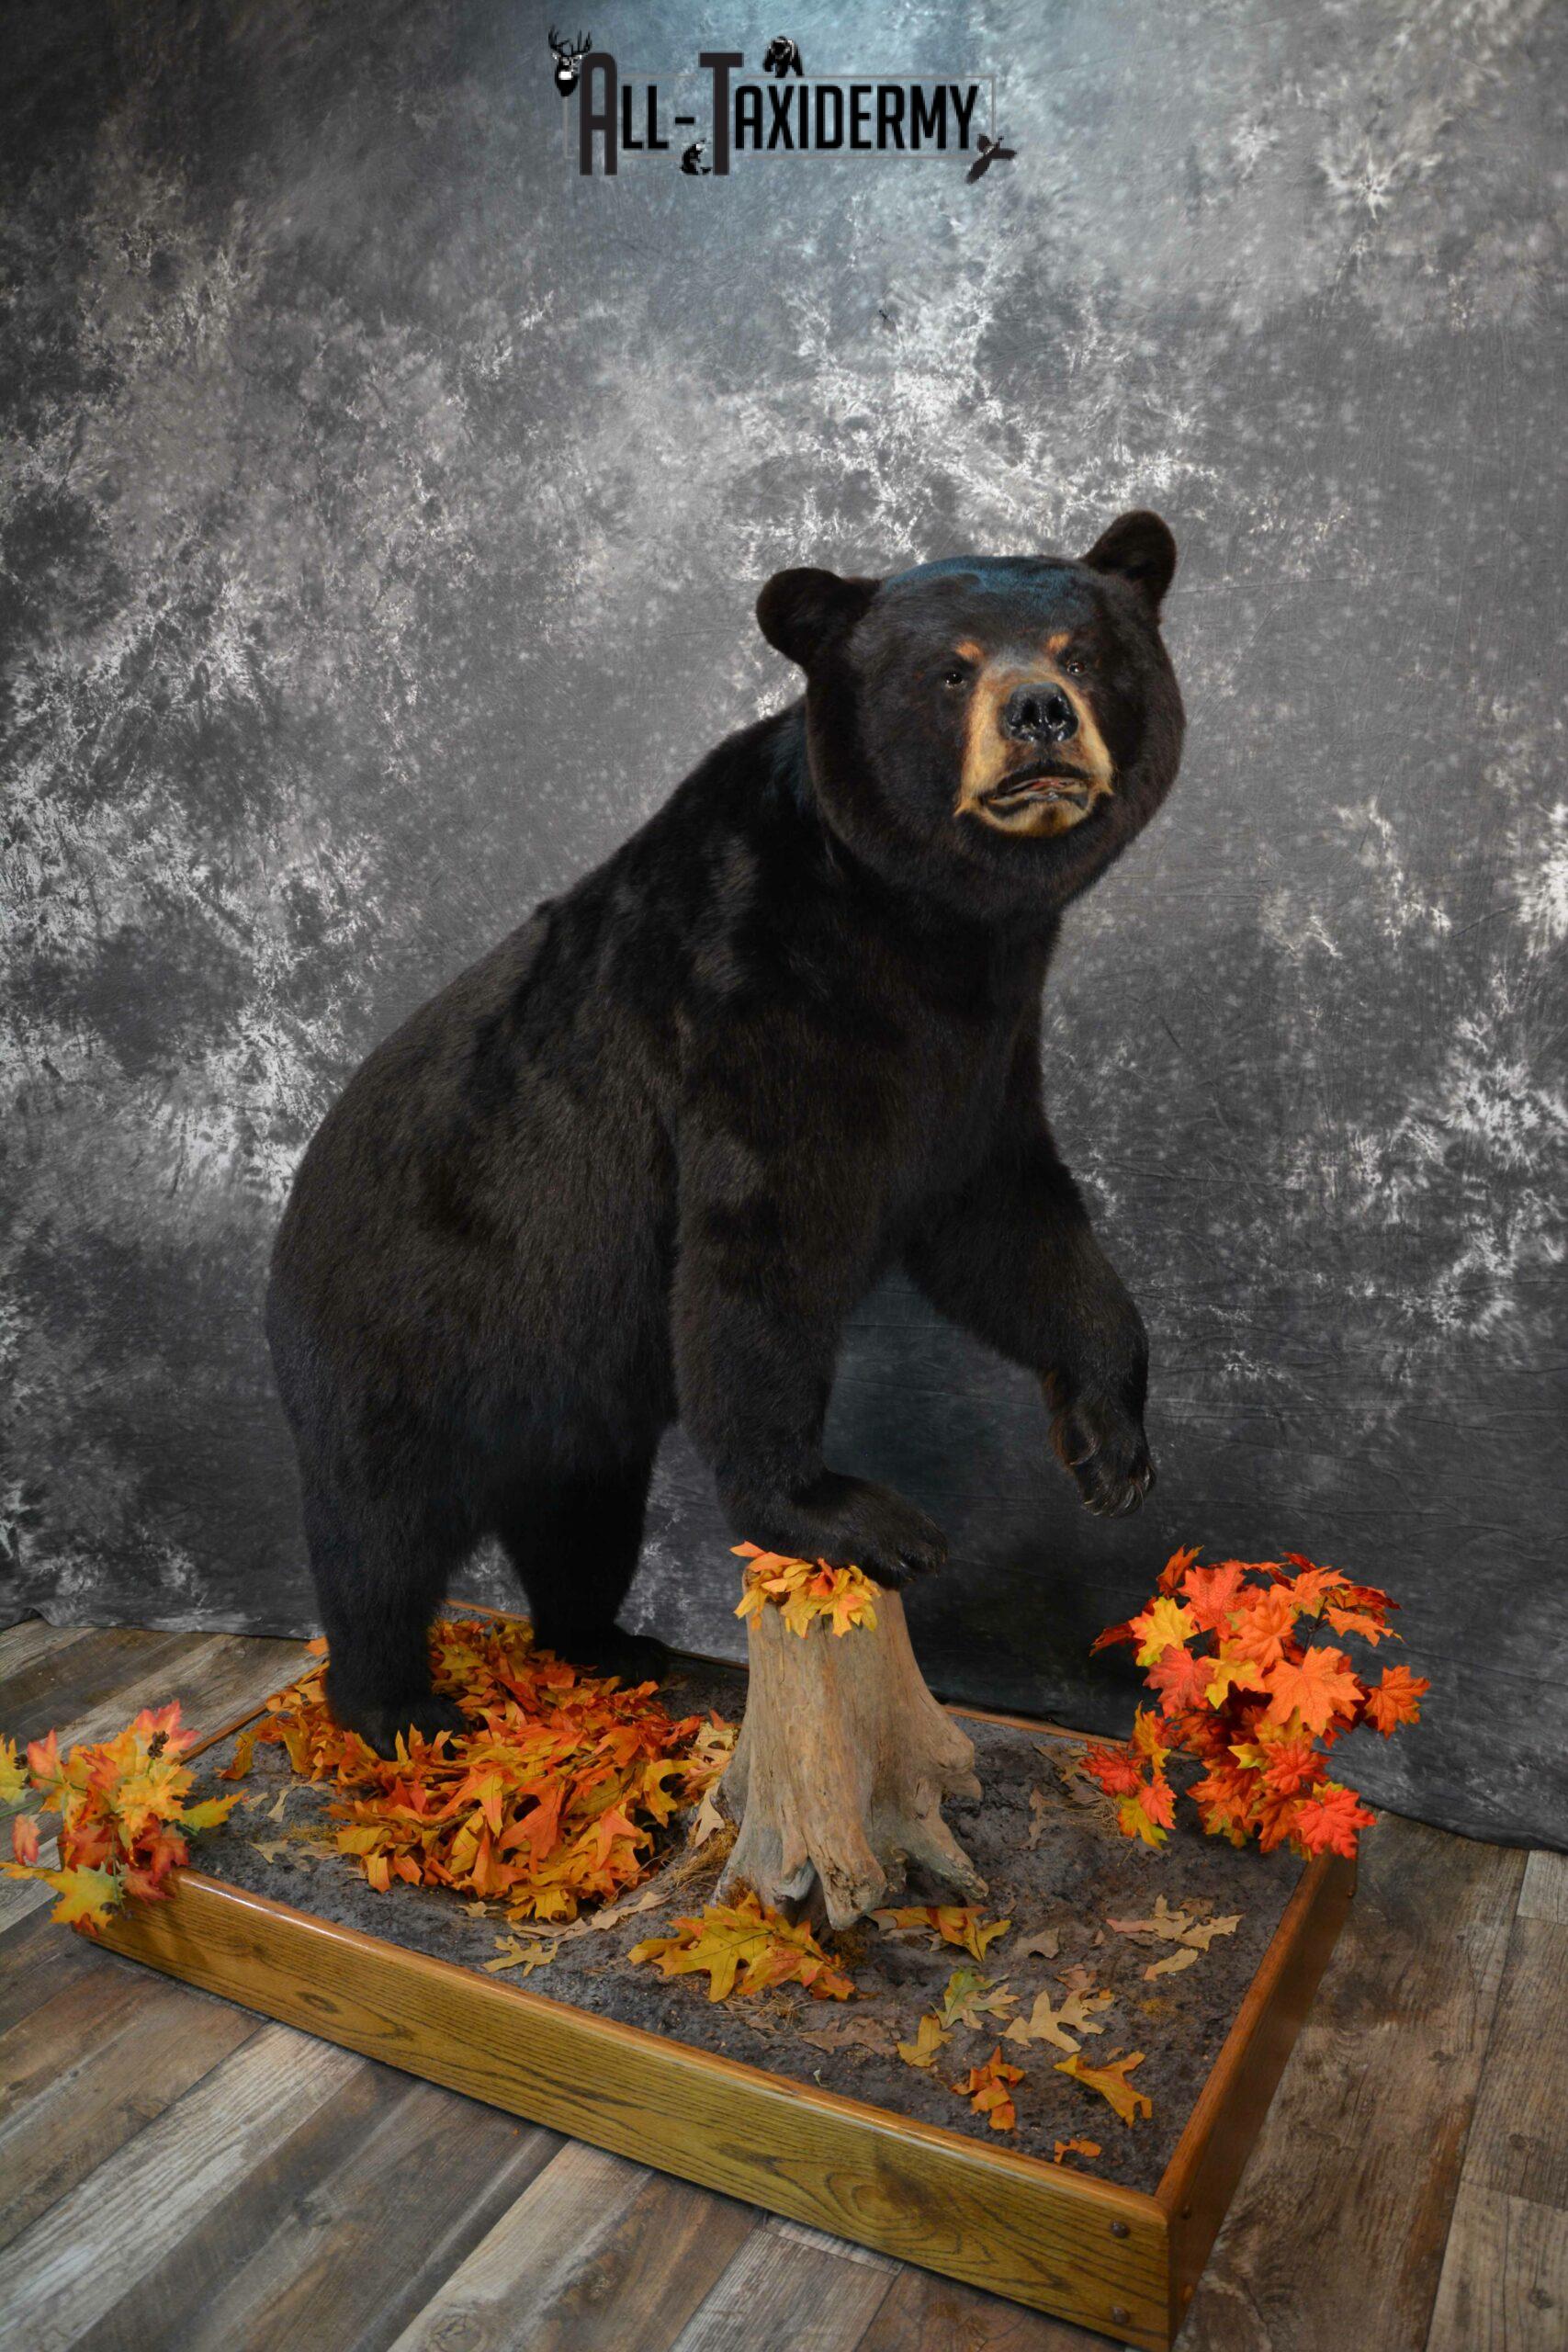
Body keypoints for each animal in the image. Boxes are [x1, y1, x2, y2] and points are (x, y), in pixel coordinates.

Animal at [265, 510, 1184, 1754]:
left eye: (1081, 651)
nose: (1039, 711)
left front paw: (1110, 1442)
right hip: (395, 1336)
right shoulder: (750, 1006)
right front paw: (851, 1514)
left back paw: (608, 1645)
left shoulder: (976, 1060)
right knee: (377, 1540)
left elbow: (1010, 1226)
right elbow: (757, 1270)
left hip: (569, 1400)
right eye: (950, 671)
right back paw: (402, 1708)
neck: (916, 928)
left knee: (580, 1515)